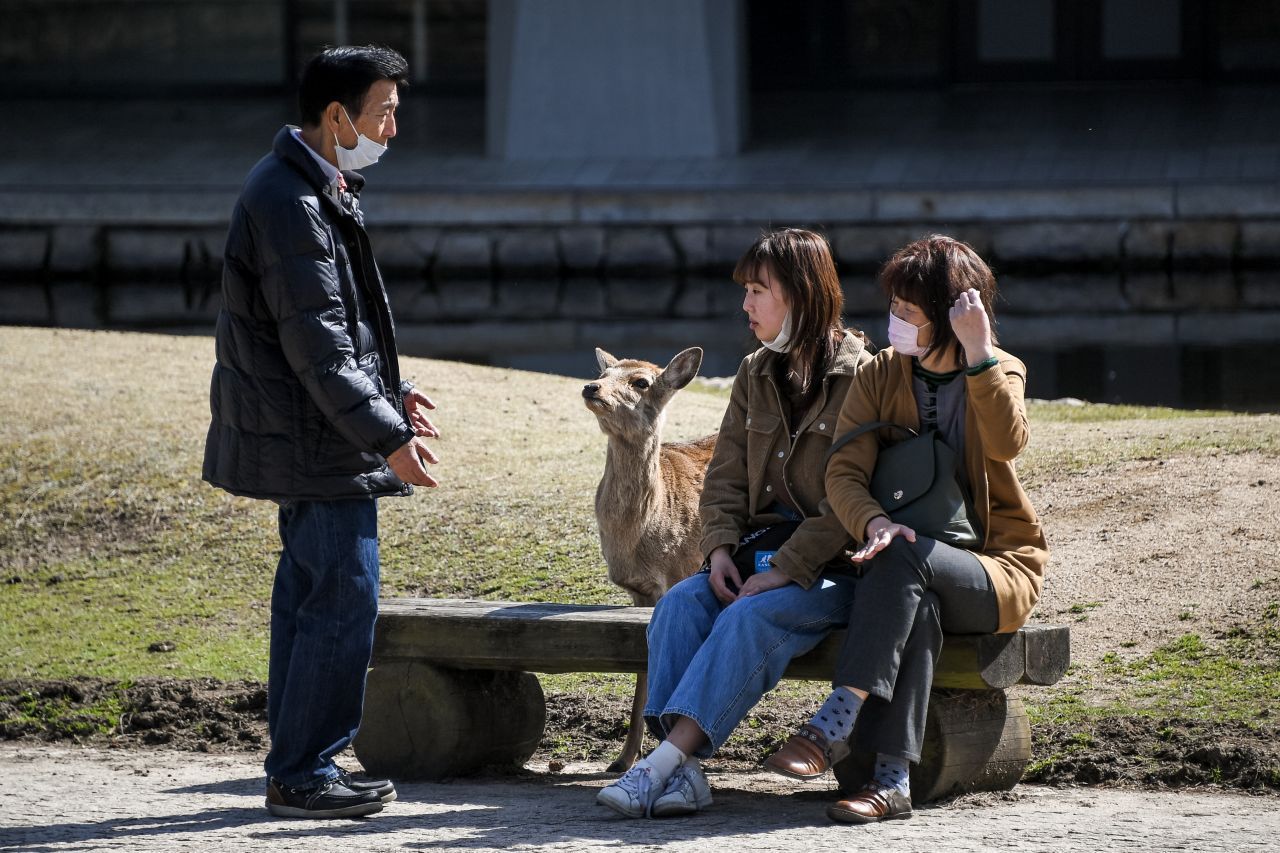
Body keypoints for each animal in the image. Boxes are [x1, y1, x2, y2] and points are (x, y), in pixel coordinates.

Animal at [583, 345, 721, 768]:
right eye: (605, 372)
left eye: (641, 382)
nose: (591, 387)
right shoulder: (638, 592)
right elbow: (642, 664)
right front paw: (623, 758)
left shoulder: (678, 574)